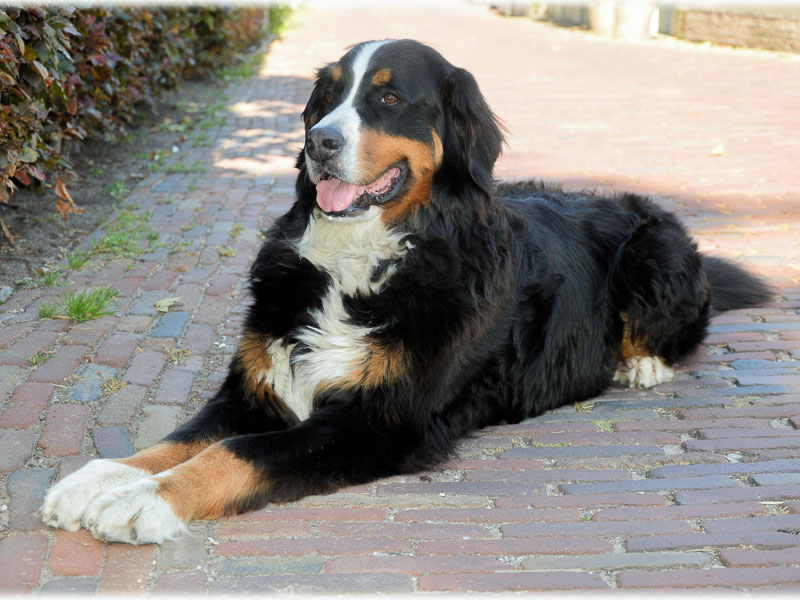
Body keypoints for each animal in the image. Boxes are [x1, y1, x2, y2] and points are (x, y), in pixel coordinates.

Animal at [42, 37, 768, 544]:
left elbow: (233, 455)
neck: (358, 262)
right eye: (326, 99)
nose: (318, 142)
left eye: (389, 99)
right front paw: (98, 481)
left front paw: (144, 502)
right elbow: (177, 441)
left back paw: (640, 363)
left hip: (654, 247)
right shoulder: (253, 388)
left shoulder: (376, 420)